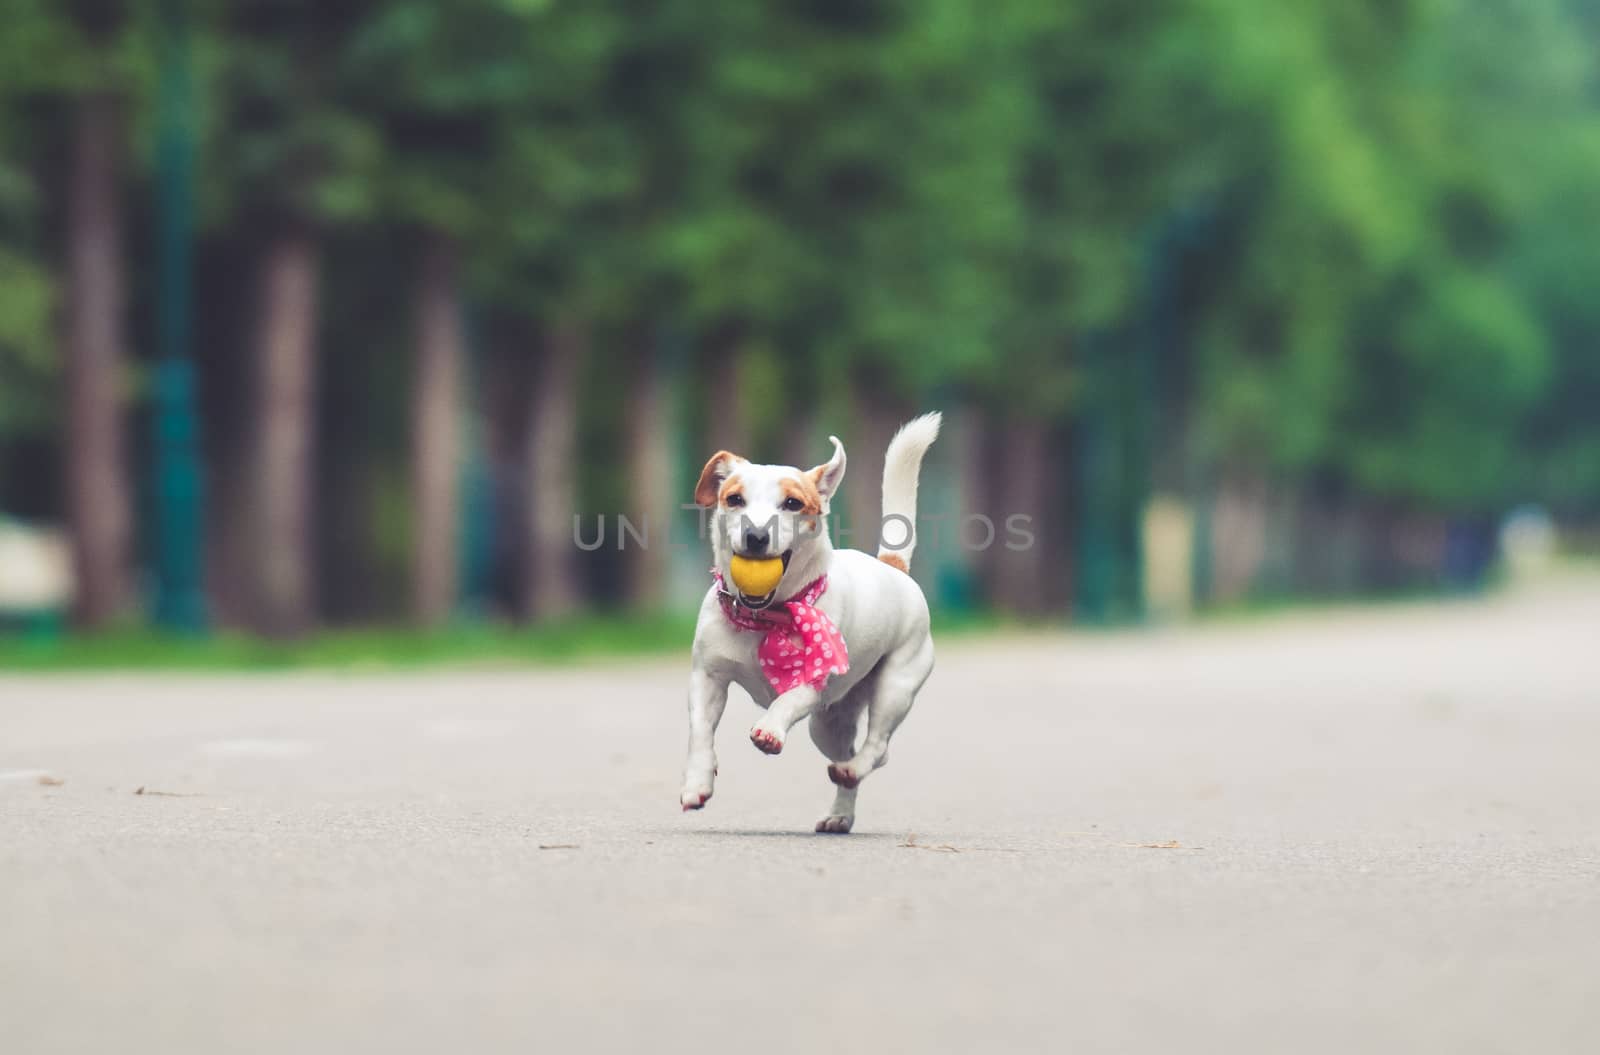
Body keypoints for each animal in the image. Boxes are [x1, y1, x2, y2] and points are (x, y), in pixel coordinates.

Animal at [675, 413, 934, 832]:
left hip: (896, 685)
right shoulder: (707, 678)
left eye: (793, 503)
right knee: (851, 753)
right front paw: (697, 784)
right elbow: (700, 731)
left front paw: (769, 728)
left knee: (877, 747)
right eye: (734, 498)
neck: (766, 618)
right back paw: (840, 813)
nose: (756, 535)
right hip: (827, 725)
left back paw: (852, 769)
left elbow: (787, 699)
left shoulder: (814, 680)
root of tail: (892, 567)